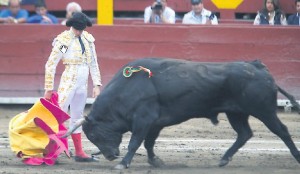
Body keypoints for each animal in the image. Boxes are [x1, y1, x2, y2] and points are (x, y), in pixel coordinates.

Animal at [78, 58, 300, 169]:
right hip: (236, 113)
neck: (126, 90)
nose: (110, 156)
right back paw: (223, 159)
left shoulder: (144, 120)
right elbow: (149, 143)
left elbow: (135, 142)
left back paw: (297, 157)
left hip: (265, 111)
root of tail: (258, 66)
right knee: (244, 133)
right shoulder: (154, 123)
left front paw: (123, 164)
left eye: (94, 134)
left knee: (282, 131)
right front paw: (155, 161)